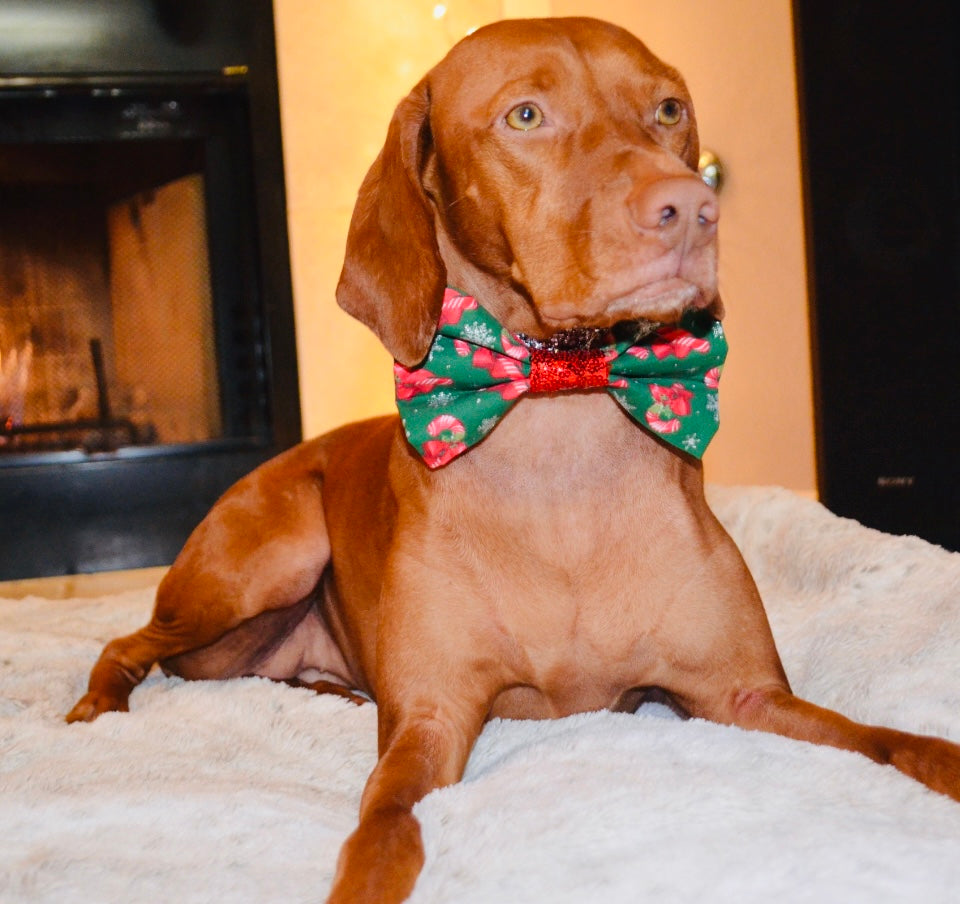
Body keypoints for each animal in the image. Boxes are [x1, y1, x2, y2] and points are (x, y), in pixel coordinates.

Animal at [69, 15, 960, 904]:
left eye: (669, 108)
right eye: (525, 116)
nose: (691, 208)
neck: (560, 444)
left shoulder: (744, 695)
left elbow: (890, 741)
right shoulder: (431, 724)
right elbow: (382, 831)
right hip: (262, 571)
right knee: (126, 643)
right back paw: (94, 711)